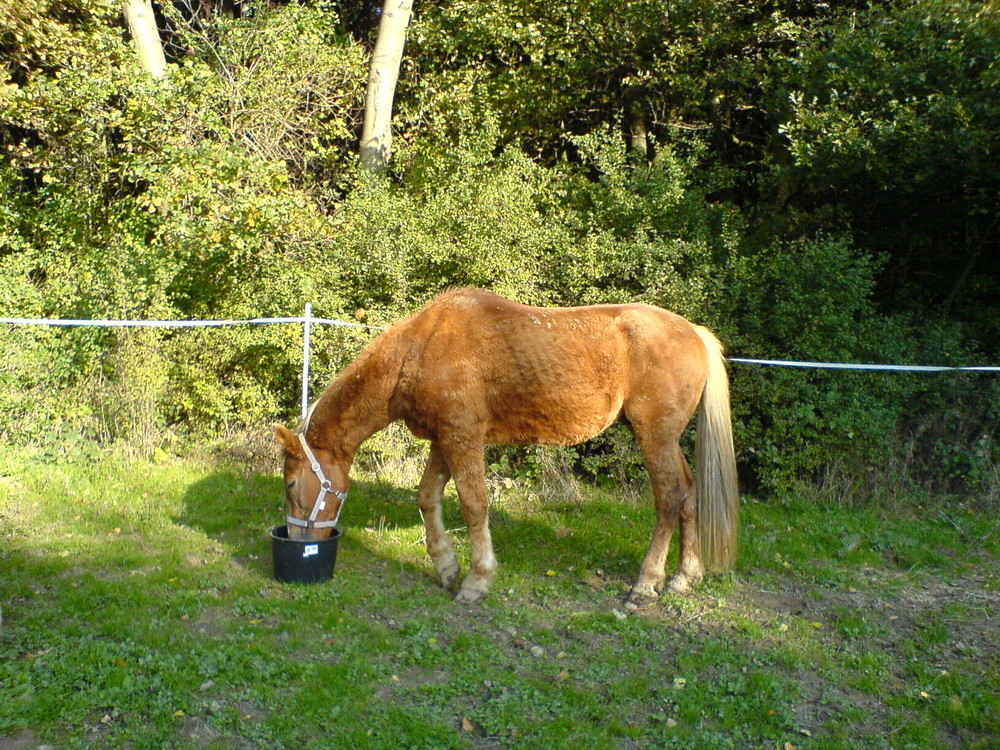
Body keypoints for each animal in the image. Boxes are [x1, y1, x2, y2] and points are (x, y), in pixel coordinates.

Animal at [278, 288, 740, 612]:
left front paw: (477, 581)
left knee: (669, 499)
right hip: (667, 439)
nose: (301, 541)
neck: (422, 347)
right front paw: (446, 567)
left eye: (291, 484)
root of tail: (694, 332)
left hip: (654, 436)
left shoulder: (463, 438)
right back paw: (683, 577)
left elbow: (473, 504)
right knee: (689, 493)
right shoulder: (446, 439)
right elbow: (428, 497)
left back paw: (646, 585)